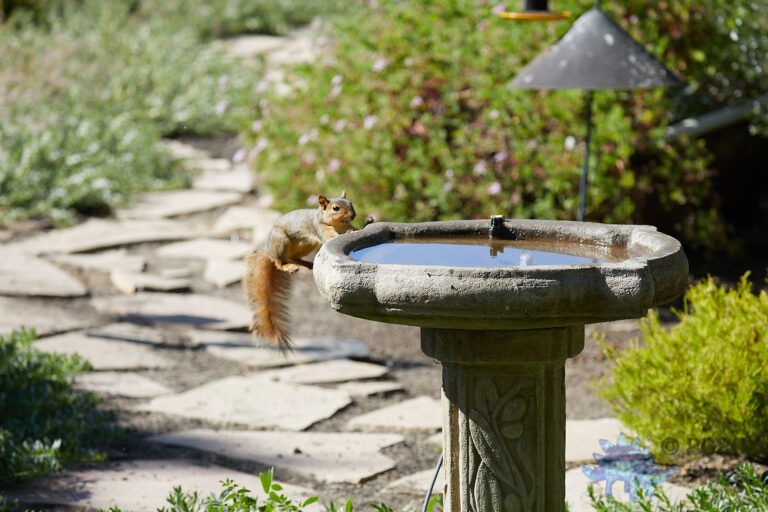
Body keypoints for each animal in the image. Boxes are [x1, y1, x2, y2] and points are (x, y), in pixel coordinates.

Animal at [242, 191, 361, 351]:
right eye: (335, 208)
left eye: (350, 203)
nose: (353, 214)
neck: (339, 224)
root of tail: (268, 248)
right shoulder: (320, 229)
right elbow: (332, 238)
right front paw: (350, 232)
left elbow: (352, 228)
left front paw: (359, 227)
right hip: (281, 242)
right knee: (278, 261)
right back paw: (287, 266)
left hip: (306, 245)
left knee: (293, 257)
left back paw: (308, 263)